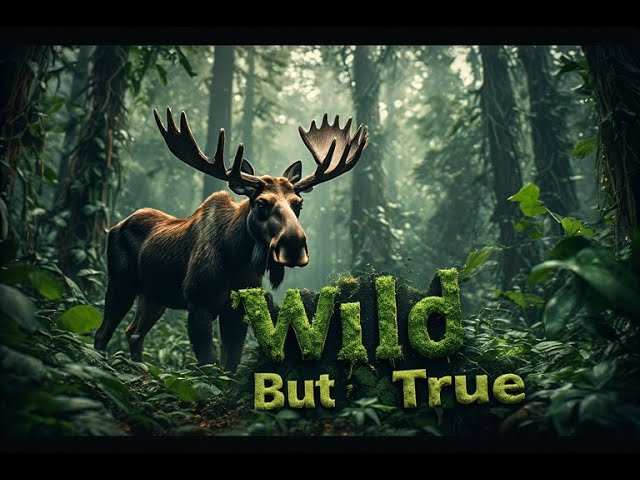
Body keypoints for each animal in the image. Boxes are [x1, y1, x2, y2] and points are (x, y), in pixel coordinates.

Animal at [93, 108, 369, 371]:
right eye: (261, 203)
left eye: (298, 204)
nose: (293, 245)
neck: (237, 259)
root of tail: (114, 227)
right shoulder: (198, 301)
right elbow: (209, 365)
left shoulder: (239, 308)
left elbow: (230, 366)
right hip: (120, 283)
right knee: (103, 332)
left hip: (154, 295)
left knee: (133, 333)